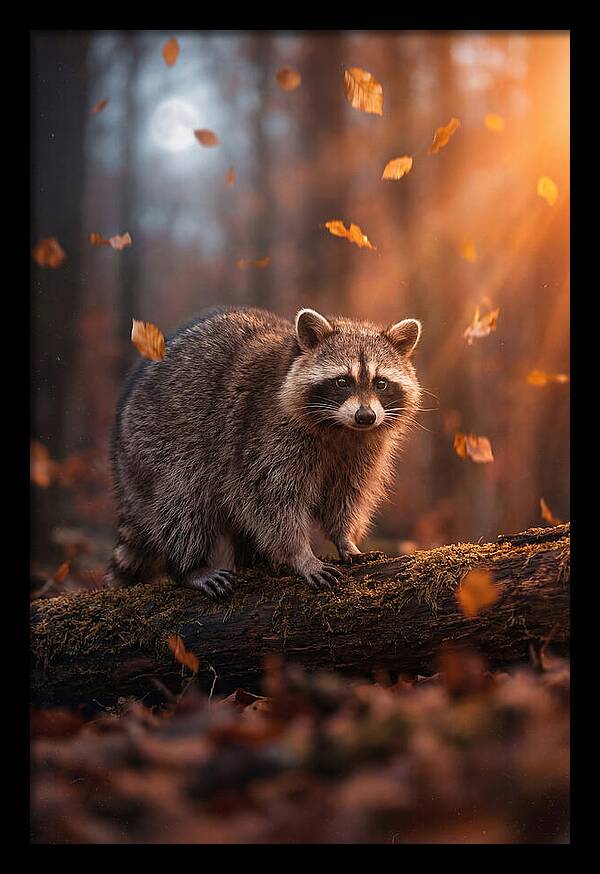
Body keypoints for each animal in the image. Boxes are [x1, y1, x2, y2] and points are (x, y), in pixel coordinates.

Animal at [107, 306, 422, 598]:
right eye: (343, 381)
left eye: (381, 383)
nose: (365, 416)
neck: (341, 428)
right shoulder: (263, 435)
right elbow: (272, 501)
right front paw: (301, 555)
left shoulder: (362, 450)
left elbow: (346, 496)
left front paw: (345, 539)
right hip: (157, 444)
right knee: (183, 503)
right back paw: (189, 567)